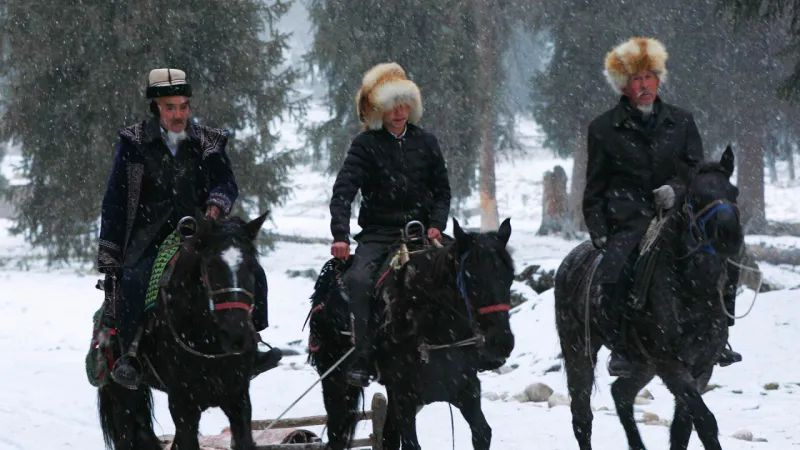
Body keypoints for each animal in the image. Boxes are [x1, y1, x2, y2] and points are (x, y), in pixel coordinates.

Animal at [97, 214, 267, 450]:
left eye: (252, 266)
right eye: (210, 265)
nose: (237, 336)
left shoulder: (238, 398)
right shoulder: (183, 405)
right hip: (123, 396)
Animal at [309, 218, 515, 450]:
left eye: (510, 277)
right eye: (473, 279)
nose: (502, 342)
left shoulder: (466, 388)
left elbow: (482, 432)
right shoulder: (403, 394)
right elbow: (410, 444)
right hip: (334, 379)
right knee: (337, 431)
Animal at [554, 146, 743, 450]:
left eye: (733, 191)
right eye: (695, 197)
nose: (729, 235)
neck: (693, 291)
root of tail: (570, 261)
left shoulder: (701, 369)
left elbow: (682, 428)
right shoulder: (671, 365)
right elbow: (705, 421)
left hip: (642, 364)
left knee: (621, 393)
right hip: (579, 352)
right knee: (582, 417)